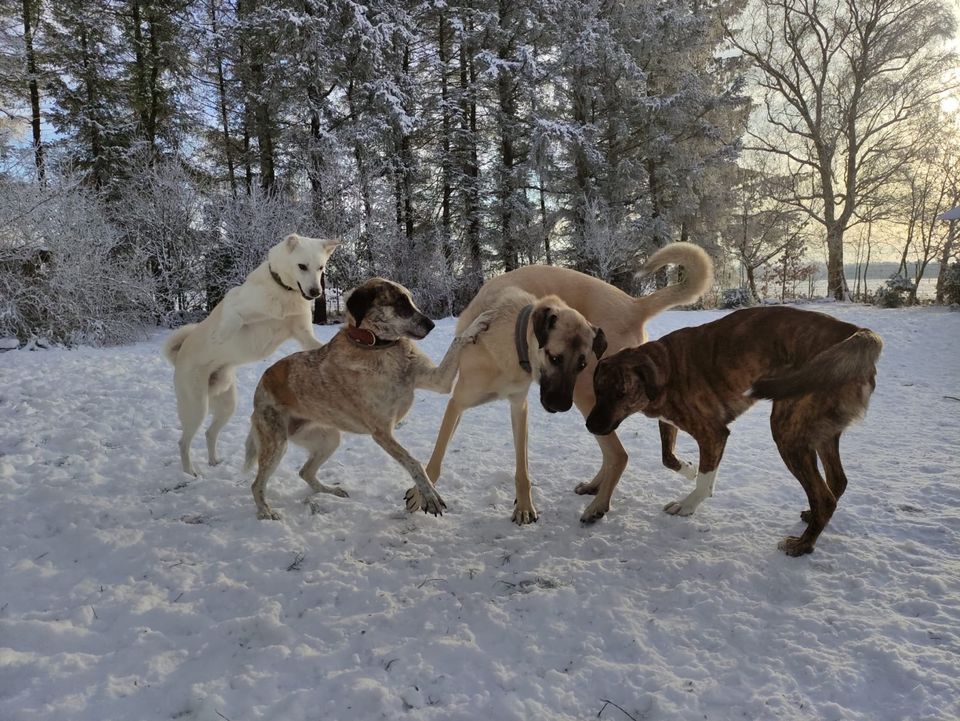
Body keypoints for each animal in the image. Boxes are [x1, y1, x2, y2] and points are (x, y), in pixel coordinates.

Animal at [165, 233, 342, 476]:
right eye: (302, 266)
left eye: (321, 267)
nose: (316, 292)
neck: (283, 291)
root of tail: (178, 356)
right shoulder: (234, 303)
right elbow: (233, 319)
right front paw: (219, 337)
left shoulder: (303, 335)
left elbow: (318, 344)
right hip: (196, 407)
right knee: (183, 442)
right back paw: (190, 472)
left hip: (227, 405)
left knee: (210, 433)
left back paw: (213, 462)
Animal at [244, 278, 492, 520]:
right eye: (400, 302)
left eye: (411, 299)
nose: (431, 325)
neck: (377, 346)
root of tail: (259, 387)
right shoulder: (381, 432)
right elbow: (414, 463)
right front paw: (429, 495)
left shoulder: (439, 381)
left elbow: (457, 341)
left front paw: (477, 323)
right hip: (276, 445)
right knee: (257, 484)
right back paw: (265, 511)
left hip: (328, 439)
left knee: (305, 472)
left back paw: (331, 491)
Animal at [580, 306, 880, 556]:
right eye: (597, 390)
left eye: (621, 393)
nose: (590, 426)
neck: (665, 368)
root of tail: (855, 334)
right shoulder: (669, 421)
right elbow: (668, 457)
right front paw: (688, 469)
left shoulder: (712, 434)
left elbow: (703, 476)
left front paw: (688, 504)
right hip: (820, 431)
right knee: (837, 481)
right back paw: (811, 519)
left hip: (788, 429)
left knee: (824, 497)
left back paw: (802, 545)